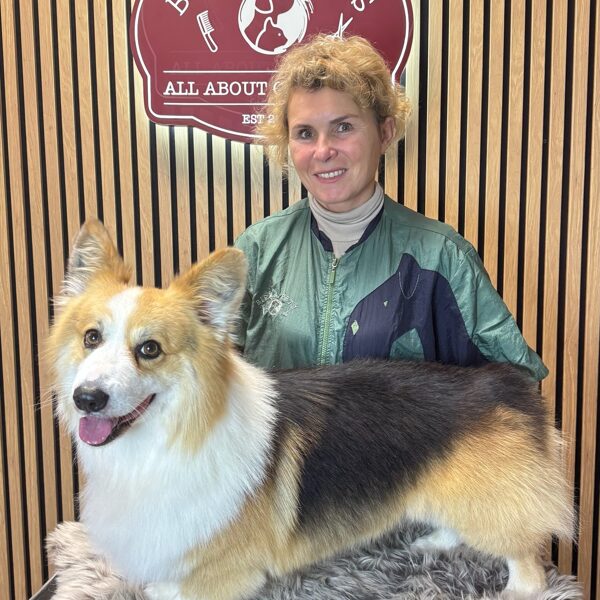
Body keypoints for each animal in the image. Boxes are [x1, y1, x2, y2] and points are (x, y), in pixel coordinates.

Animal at [47, 219, 574, 600]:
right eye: (91, 338)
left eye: (150, 349)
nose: (86, 398)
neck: (166, 439)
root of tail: (505, 382)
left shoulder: (219, 573)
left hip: (490, 502)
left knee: (522, 556)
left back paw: (515, 590)